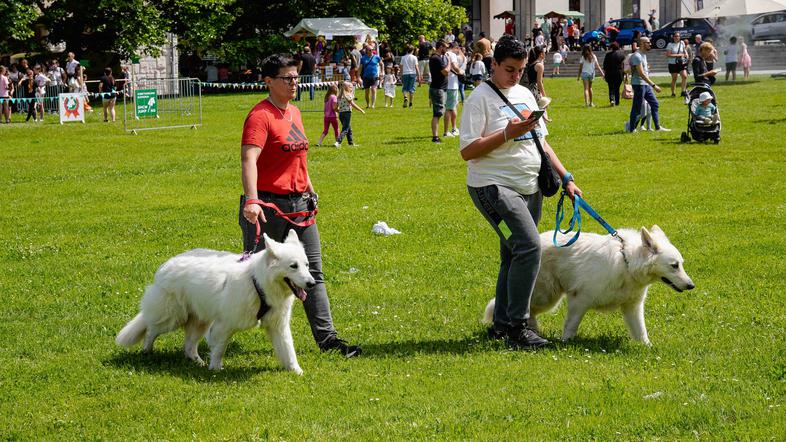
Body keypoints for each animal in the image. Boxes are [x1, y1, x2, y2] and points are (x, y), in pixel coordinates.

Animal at [116, 230, 312, 374]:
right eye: (293, 266)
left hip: (200, 321)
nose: (312, 283)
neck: (258, 283)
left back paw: (198, 362)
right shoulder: (224, 325)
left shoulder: (278, 326)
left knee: (189, 346)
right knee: (151, 330)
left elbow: (288, 350)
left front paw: (296, 371)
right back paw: (146, 351)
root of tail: (166, 265)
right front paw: (216, 369)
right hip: (172, 317)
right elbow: (219, 348)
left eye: (307, 265)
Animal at [480, 224, 696, 346]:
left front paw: (648, 348)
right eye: (674, 266)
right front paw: (565, 344)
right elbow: (571, 326)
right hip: (547, 296)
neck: (627, 262)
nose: (691, 285)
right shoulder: (579, 301)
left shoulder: (632, 308)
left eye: (681, 264)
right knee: (526, 309)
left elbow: (641, 332)